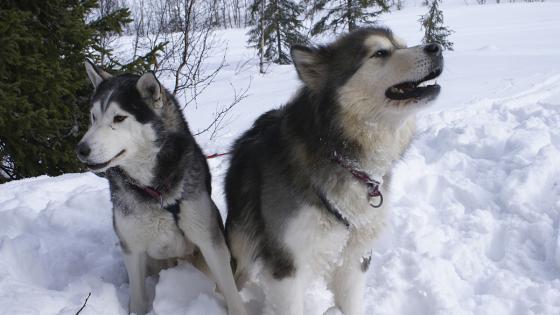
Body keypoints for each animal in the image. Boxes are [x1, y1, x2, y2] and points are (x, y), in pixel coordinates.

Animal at [77, 61, 246, 315]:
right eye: (93, 117)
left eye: (119, 118)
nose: (81, 149)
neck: (154, 189)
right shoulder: (133, 248)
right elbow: (137, 299)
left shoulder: (208, 240)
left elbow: (231, 293)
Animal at [225, 27, 444, 315]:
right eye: (380, 52)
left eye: (403, 45)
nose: (436, 47)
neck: (341, 155)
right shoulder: (287, 263)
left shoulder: (354, 258)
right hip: (243, 251)